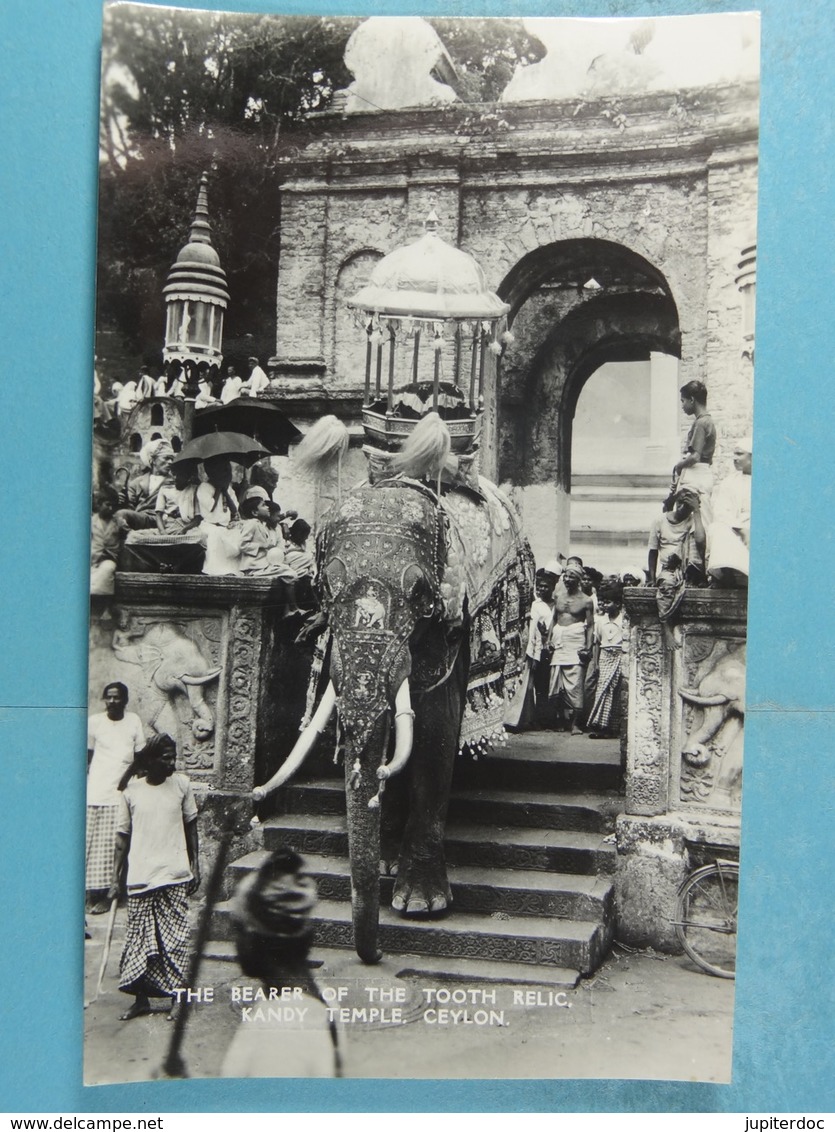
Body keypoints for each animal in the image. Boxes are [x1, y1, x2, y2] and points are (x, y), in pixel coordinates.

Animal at [250, 416, 529, 964]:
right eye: (324, 590)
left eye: (421, 594)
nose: (373, 956)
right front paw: (383, 864)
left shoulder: (451, 623)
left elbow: (436, 728)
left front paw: (419, 905)